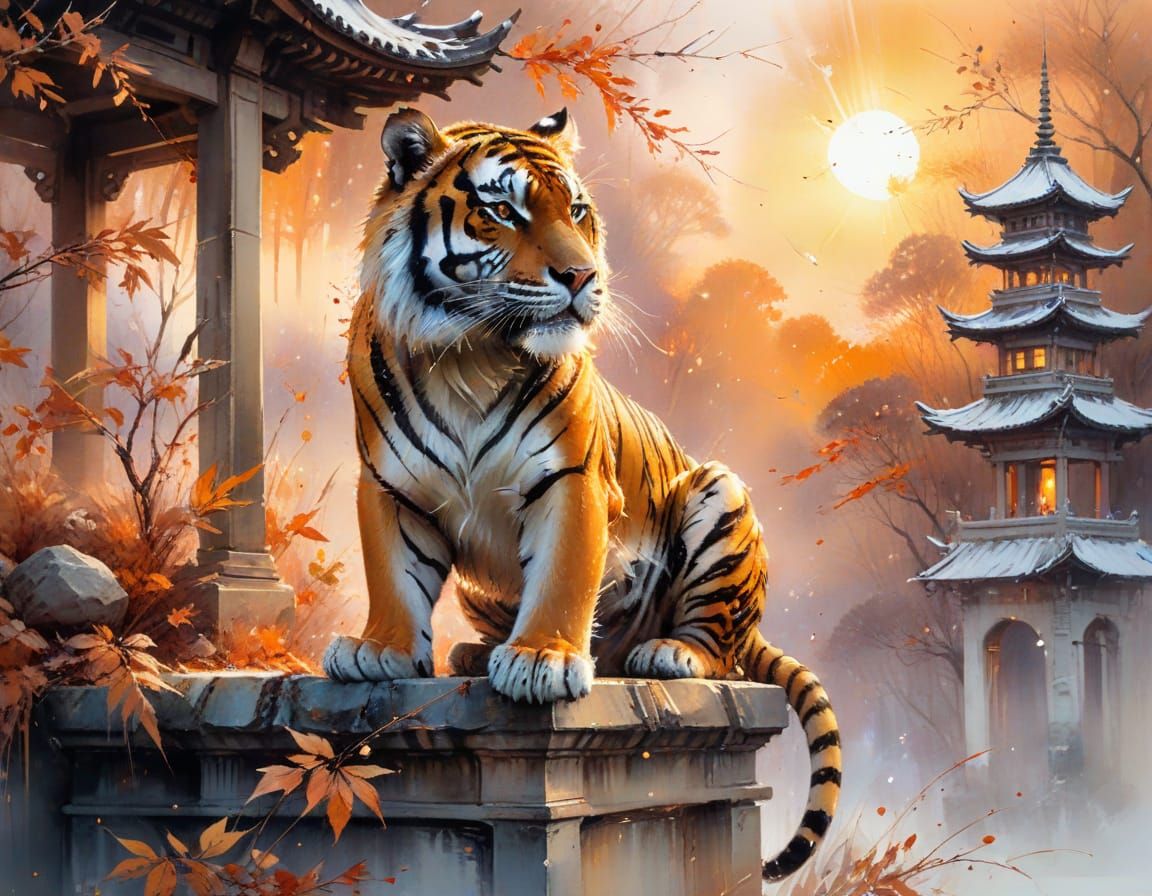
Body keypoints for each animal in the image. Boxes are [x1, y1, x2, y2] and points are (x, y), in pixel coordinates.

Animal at [322, 107, 841, 881]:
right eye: (501, 210)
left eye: (575, 211)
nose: (581, 276)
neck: (470, 354)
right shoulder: (388, 484)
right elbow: (393, 576)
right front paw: (379, 650)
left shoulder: (571, 479)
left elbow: (565, 573)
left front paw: (542, 661)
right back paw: (476, 655)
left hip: (718, 492)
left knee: (716, 645)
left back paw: (667, 653)